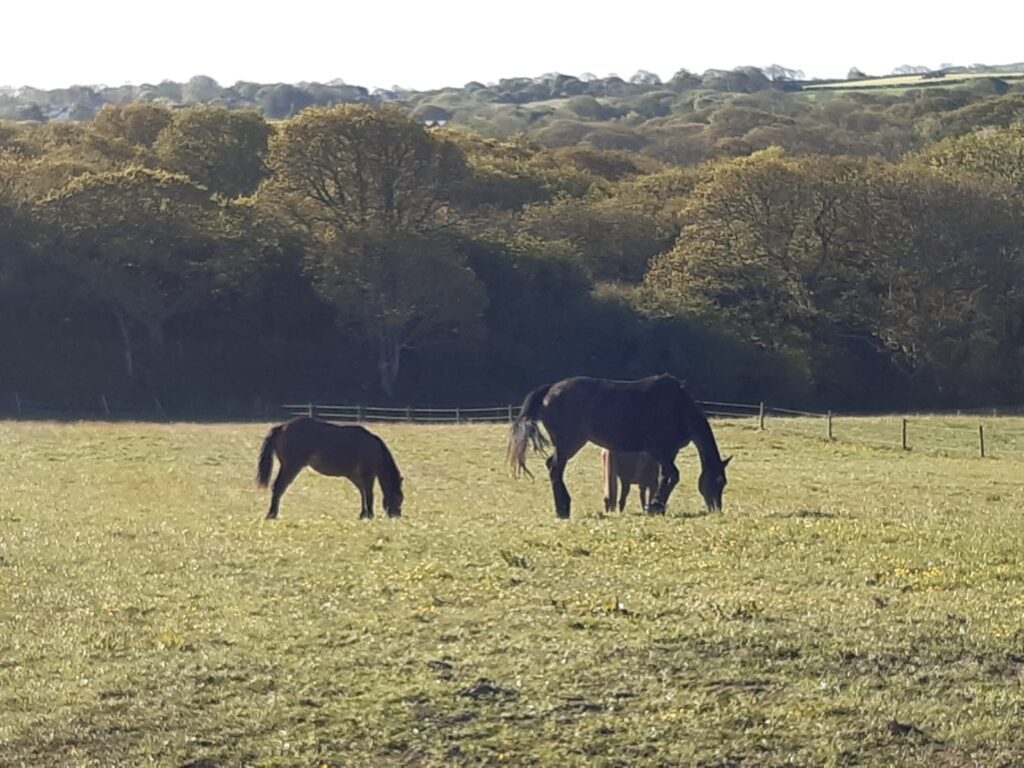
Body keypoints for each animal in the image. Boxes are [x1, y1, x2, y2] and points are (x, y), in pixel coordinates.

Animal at [256, 417, 403, 520]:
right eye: (399, 497)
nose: (396, 515)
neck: (374, 449)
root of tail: (281, 427)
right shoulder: (368, 474)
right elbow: (369, 493)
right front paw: (370, 515)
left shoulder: (356, 476)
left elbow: (362, 493)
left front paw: (363, 514)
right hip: (291, 466)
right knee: (279, 487)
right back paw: (272, 514)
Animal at [507, 374, 733, 520]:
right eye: (718, 481)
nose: (716, 508)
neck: (676, 407)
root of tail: (550, 389)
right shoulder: (659, 451)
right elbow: (673, 475)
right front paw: (655, 506)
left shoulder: (669, 452)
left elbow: (665, 477)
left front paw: (657, 506)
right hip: (568, 444)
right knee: (555, 469)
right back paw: (563, 509)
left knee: (551, 467)